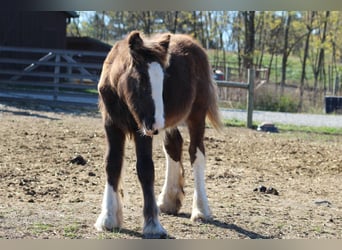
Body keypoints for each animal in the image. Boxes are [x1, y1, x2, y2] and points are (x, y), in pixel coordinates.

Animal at [94, 30, 222, 237]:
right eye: (140, 80)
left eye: (163, 80)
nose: (157, 125)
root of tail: (195, 45)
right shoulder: (111, 125)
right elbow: (112, 164)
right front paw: (108, 219)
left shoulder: (142, 129)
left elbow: (145, 168)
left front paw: (153, 225)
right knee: (174, 146)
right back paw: (168, 200)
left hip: (196, 115)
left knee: (196, 153)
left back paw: (201, 210)